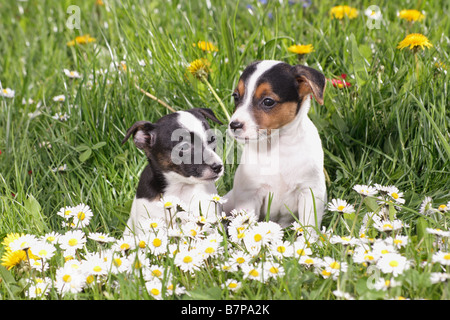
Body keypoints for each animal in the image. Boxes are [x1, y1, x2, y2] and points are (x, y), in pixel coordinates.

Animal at [225, 60, 326, 229]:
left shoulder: (310, 192)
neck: (277, 146)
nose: (234, 125)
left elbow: (309, 226)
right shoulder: (249, 195)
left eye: (268, 101)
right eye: (236, 97)